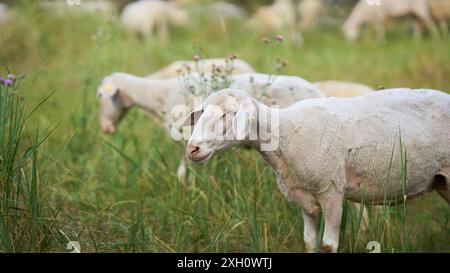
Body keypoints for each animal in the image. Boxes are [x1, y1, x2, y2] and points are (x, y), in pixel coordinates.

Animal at [185, 88, 450, 252]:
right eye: (202, 112)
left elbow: (328, 245)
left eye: (229, 114)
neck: (285, 134)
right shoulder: (304, 197)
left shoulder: (331, 191)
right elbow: (309, 243)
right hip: (441, 182)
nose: (192, 149)